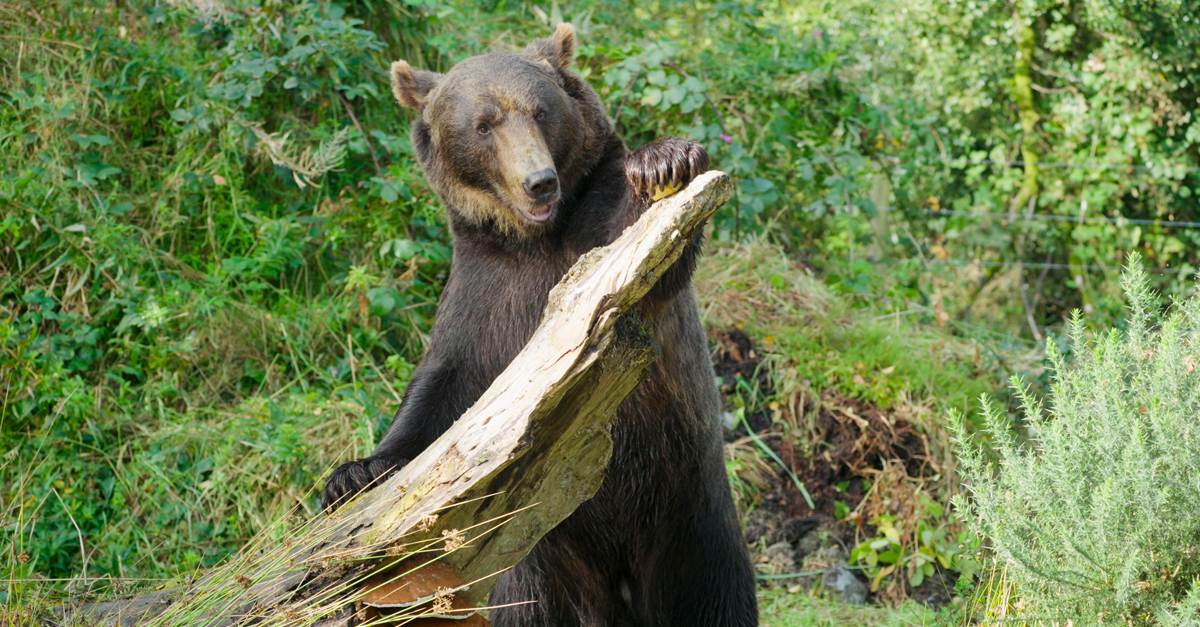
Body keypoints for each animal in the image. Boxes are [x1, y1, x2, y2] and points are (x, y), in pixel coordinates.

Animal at [321, 24, 758, 627]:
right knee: (531, 606)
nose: (539, 183)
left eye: (540, 111)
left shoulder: (592, 242)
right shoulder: (487, 293)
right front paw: (354, 473)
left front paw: (664, 160)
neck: (536, 240)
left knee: (713, 597)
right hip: (542, 564)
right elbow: (441, 390)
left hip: (691, 519)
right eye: (483, 125)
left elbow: (645, 253)